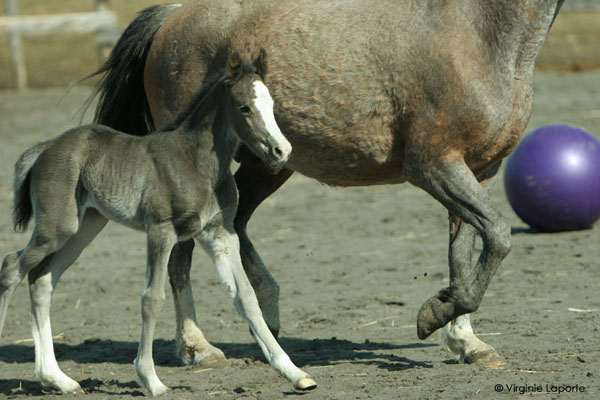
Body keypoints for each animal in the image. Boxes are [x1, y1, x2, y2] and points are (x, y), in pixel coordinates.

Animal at [89, 0, 564, 368]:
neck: (476, 35)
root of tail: (172, 16)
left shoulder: (481, 170)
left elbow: (465, 252)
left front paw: (466, 341)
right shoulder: (434, 167)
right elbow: (498, 236)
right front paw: (434, 314)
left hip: (268, 164)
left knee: (236, 225)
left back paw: (268, 315)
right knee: (181, 256)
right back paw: (198, 349)